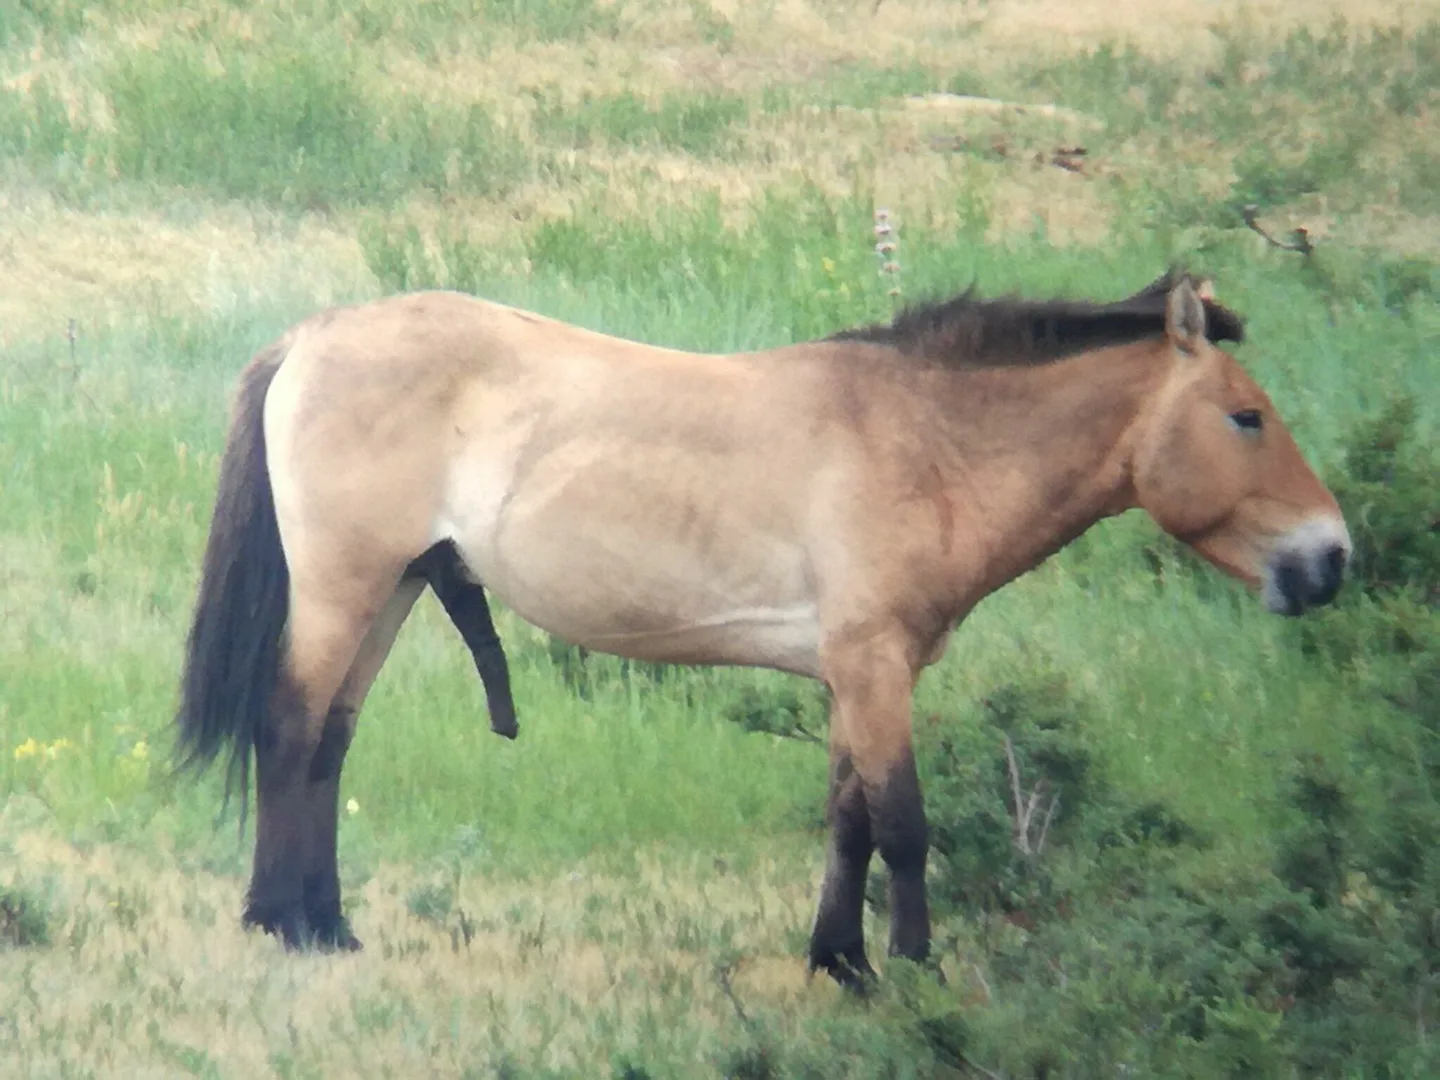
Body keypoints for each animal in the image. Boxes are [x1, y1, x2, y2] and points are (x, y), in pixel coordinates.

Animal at [175, 268, 1351, 987]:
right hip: (347, 588)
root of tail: (312, 338)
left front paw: (841, 962)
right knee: (289, 730)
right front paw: (915, 972)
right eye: (1247, 417)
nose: (1331, 557)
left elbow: (847, 820)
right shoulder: (875, 666)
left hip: (396, 589)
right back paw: (284, 923)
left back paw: (327, 922)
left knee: (328, 743)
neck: (922, 441)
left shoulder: (851, 675)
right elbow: (904, 825)